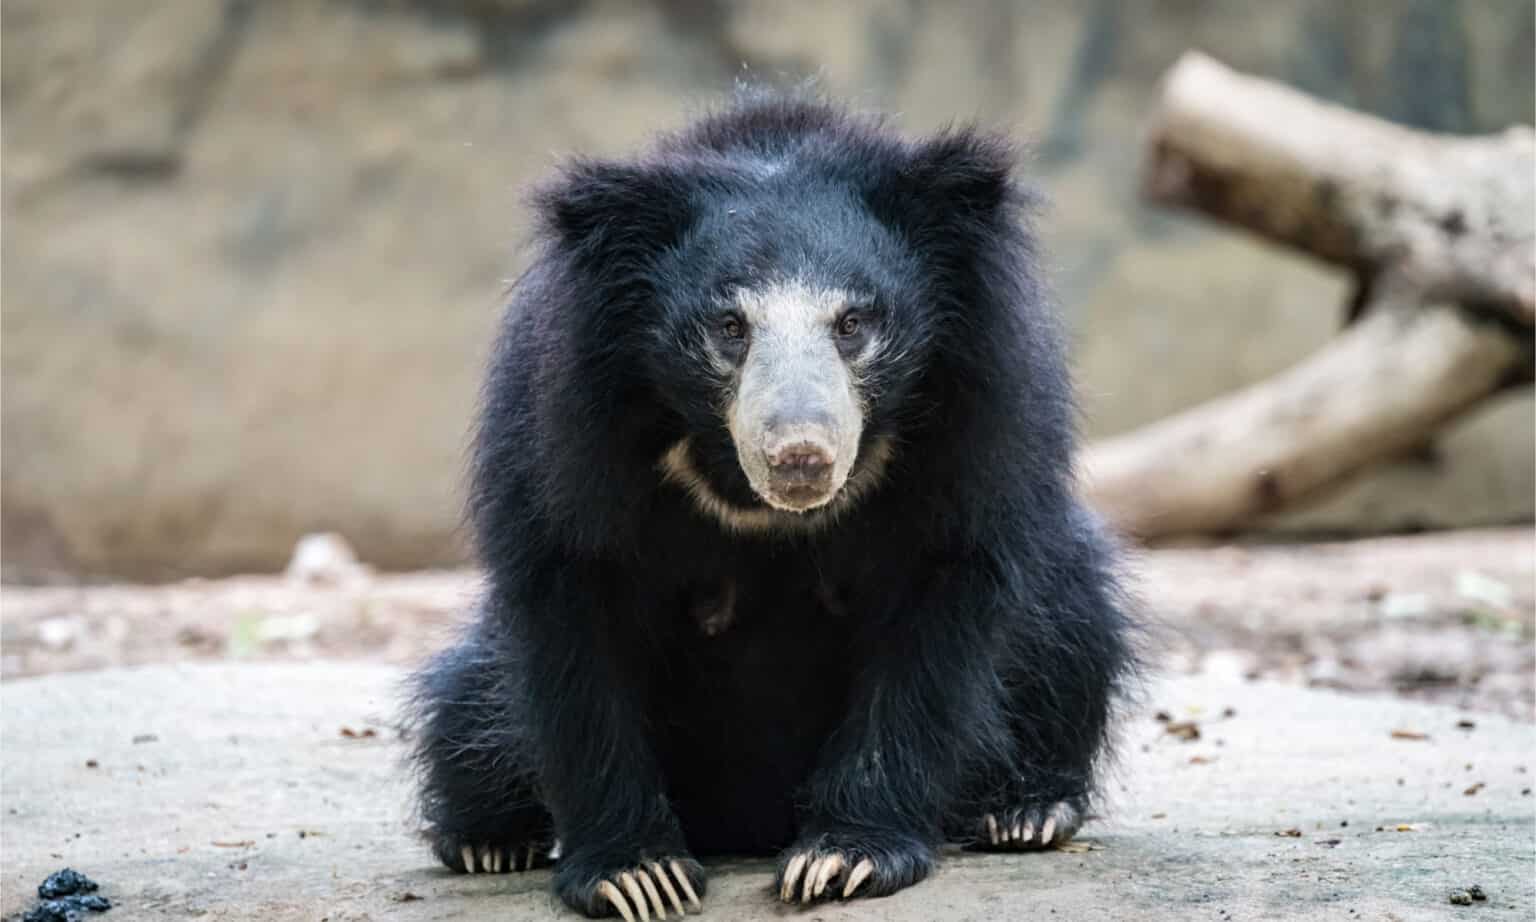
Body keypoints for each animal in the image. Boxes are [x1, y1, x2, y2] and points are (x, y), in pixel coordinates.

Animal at [411, 89, 1142, 915]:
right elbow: (574, 607)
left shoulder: (985, 409)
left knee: (1073, 623)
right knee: (470, 700)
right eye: (730, 327)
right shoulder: (559, 426)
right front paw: (637, 875)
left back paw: (1025, 810)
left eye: (853, 323)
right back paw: (488, 841)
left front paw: (842, 857)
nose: (800, 457)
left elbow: (938, 606)